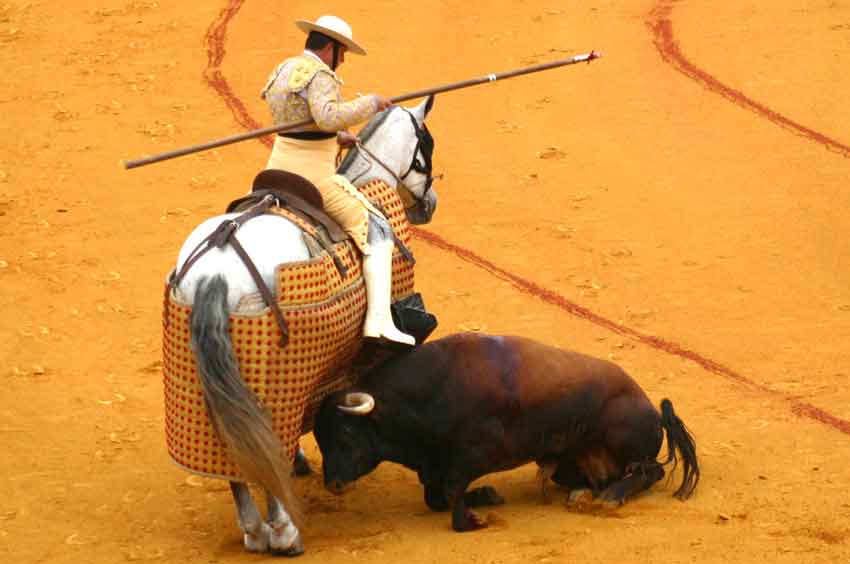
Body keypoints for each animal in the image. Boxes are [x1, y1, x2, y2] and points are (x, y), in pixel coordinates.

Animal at [172, 94, 438, 552]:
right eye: (427, 147)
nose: (431, 203)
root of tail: (215, 273)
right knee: (266, 437)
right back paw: (283, 532)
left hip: (204, 377)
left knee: (234, 448)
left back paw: (254, 531)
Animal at [314, 332, 700, 532]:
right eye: (320, 438)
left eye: (345, 433)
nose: (333, 484)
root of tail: (652, 407)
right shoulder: (434, 466)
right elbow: (436, 496)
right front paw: (485, 496)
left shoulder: (469, 455)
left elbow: (451, 491)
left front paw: (472, 519)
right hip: (569, 462)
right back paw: (583, 494)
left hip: (625, 442)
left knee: (650, 472)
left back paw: (610, 497)